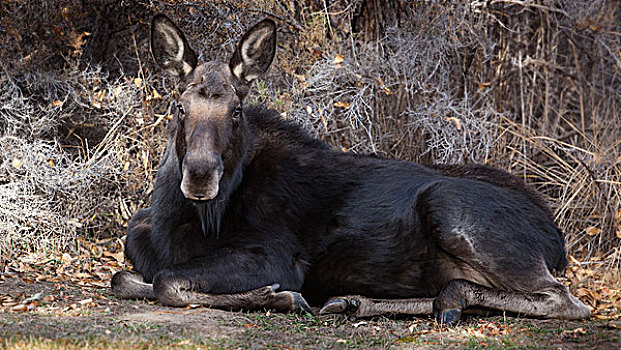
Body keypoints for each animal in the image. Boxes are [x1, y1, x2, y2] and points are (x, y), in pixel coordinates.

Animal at [112, 15, 592, 324]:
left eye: (236, 110)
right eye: (179, 107)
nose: (199, 174)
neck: (182, 220)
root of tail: (556, 239)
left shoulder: (274, 257)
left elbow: (166, 281)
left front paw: (278, 297)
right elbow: (125, 277)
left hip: (450, 205)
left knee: (566, 300)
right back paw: (355, 302)